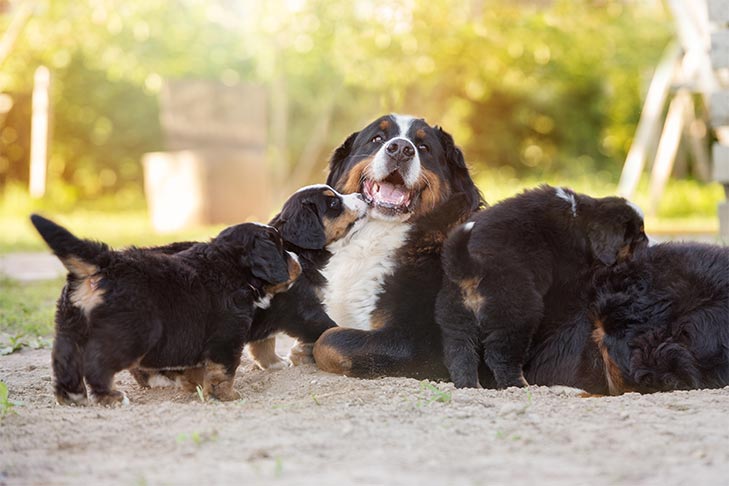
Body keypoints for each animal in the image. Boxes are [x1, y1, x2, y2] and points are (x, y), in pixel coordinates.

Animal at [32, 216, 300, 406]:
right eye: (281, 249)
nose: (298, 259)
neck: (229, 267)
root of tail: (107, 263)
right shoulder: (227, 336)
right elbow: (223, 371)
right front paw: (227, 396)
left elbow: (197, 368)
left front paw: (194, 387)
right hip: (131, 334)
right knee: (98, 363)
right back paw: (112, 397)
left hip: (69, 326)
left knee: (65, 360)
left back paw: (71, 397)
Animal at [312, 115, 484, 380]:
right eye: (377, 138)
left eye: (423, 147)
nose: (401, 149)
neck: (379, 233)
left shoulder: (416, 343)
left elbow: (327, 341)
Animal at [436, 184, 652, 390]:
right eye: (639, 237)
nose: (652, 247)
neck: (581, 218)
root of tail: (473, 267)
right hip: (518, 313)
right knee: (500, 356)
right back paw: (518, 385)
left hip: (457, 318)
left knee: (460, 354)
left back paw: (470, 385)